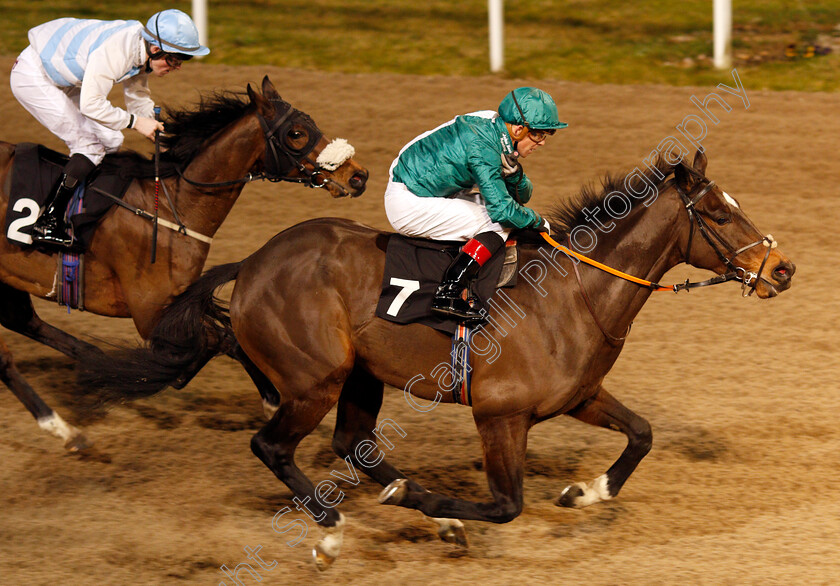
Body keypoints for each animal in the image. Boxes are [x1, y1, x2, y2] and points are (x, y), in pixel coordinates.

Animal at [0, 73, 368, 448]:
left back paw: (86, 373)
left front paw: (270, 399)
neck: (173, 206)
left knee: (25, 323)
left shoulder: (177, 301)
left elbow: (229, 336)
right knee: (6, 357)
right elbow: (218, 339)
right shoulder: (150, 313)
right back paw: (61, 425)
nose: (358, 176)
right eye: (296, 133)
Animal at [85, 149, 796, 564]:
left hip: (361, 377)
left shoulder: (579, 396)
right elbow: (507, 504)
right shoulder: (500, 416)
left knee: (352, 443)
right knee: (273, 447)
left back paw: (410, 498)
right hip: (315, 379)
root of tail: (254, 262)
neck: (572, 294)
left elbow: (642, 434)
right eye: (718, 214)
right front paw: (436, 508)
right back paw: (335, 527)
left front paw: (586, 491)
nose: (782, 269)